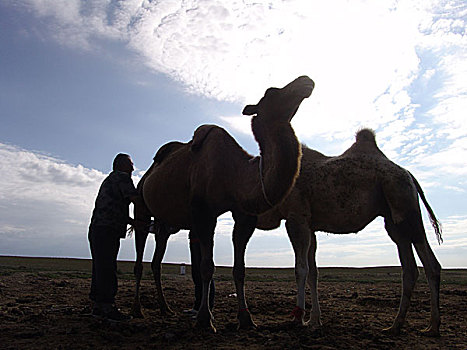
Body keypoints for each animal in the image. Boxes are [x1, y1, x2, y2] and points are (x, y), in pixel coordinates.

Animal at [131, 75, 314, 332]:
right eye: (271, 91)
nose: (305, 81)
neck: (234, 173)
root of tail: (147, 176)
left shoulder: (244, 215)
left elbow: (240, 269)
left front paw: (246, 319)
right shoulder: (203, 211)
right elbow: (207, 266)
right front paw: (205, 320)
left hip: (164, 223)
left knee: (156, 262)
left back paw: (165, 308)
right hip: (141, 206)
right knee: (139, 256)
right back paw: (137, 309)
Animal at [258, 128, 444, 336]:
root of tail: (409, 174)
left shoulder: (296, 217)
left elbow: (301, 269)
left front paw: (298, 320)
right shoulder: (310, 225)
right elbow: (313, 272)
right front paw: (315, 320)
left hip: (404, 203)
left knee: (430, 264)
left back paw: (432, 326)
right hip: (394, 220)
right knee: (410, 267)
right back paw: (396, 325)